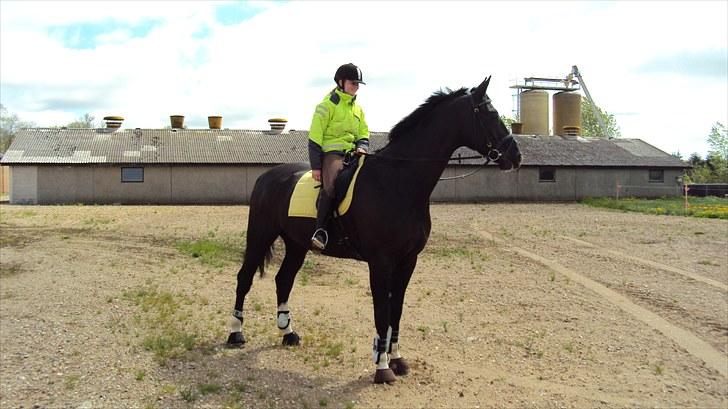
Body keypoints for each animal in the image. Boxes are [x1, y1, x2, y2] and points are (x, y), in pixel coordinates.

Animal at [226, 75, 516, 382]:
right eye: (490, 113)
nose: (516, 155)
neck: (397, 182)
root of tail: (267, 177)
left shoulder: (407, 262)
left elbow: (396, 310)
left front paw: (397, 359)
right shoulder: (381, 263)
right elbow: (382, 311)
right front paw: (382, 367)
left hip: (296, 244)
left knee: (284, 280)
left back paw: (288, 333)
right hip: (260, 235)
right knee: (244, 278)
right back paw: (235, 334)